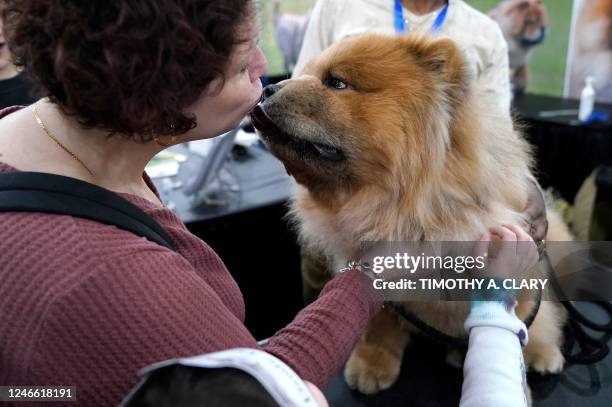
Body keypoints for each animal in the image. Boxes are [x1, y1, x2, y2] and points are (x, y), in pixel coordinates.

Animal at [251, 33, 568, 396]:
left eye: (336, 83)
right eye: (306, 74)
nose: (267, 90)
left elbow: (522, 324)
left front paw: (526, 373)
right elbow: (378, 326)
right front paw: (371, 366)